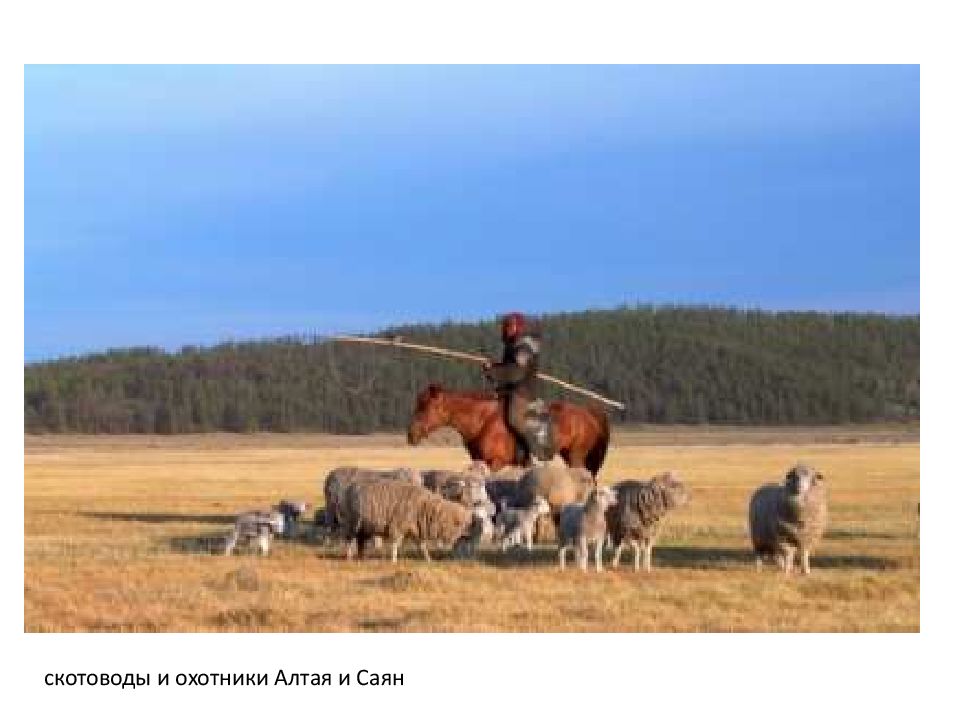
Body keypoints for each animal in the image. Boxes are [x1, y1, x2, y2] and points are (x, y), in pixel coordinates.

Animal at [342, 480, 484, 564]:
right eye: (460, 524)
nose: (470, 534)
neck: (425, 507)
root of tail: (350, 487)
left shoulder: (417, 530)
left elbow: (422, 546)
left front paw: (428, 560)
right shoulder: (397, 526)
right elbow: (395, 544)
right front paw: (393, 561)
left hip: (363, 527)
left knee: (360, 541)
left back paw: (362, 557)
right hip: (352, 523)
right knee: (349, 540)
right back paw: (349, 557)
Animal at [404, 382, 608, 478]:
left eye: (424, 407)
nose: (411, 434)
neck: (483, 420)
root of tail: (587, 413)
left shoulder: (496, 462)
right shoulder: (479, 462)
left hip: (576, 456)